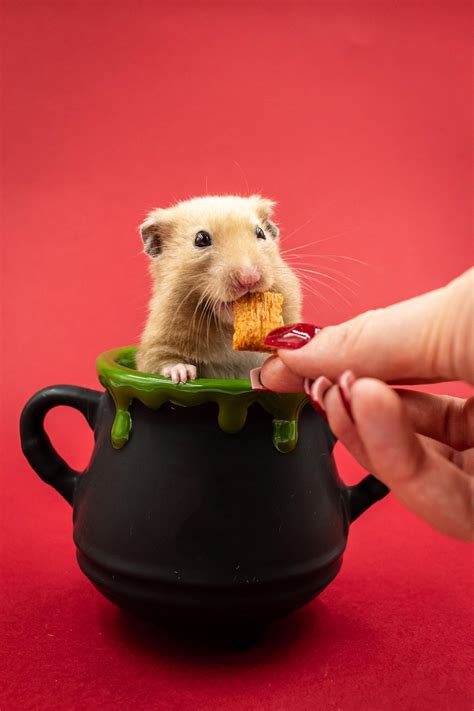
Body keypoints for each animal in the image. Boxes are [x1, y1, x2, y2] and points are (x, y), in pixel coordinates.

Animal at [136, 194, 302, 382]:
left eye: (261, 233)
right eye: (201, 239)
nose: (249, 278)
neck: (229, 330)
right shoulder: (157, 341)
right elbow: (160, 360)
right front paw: (183, 375)